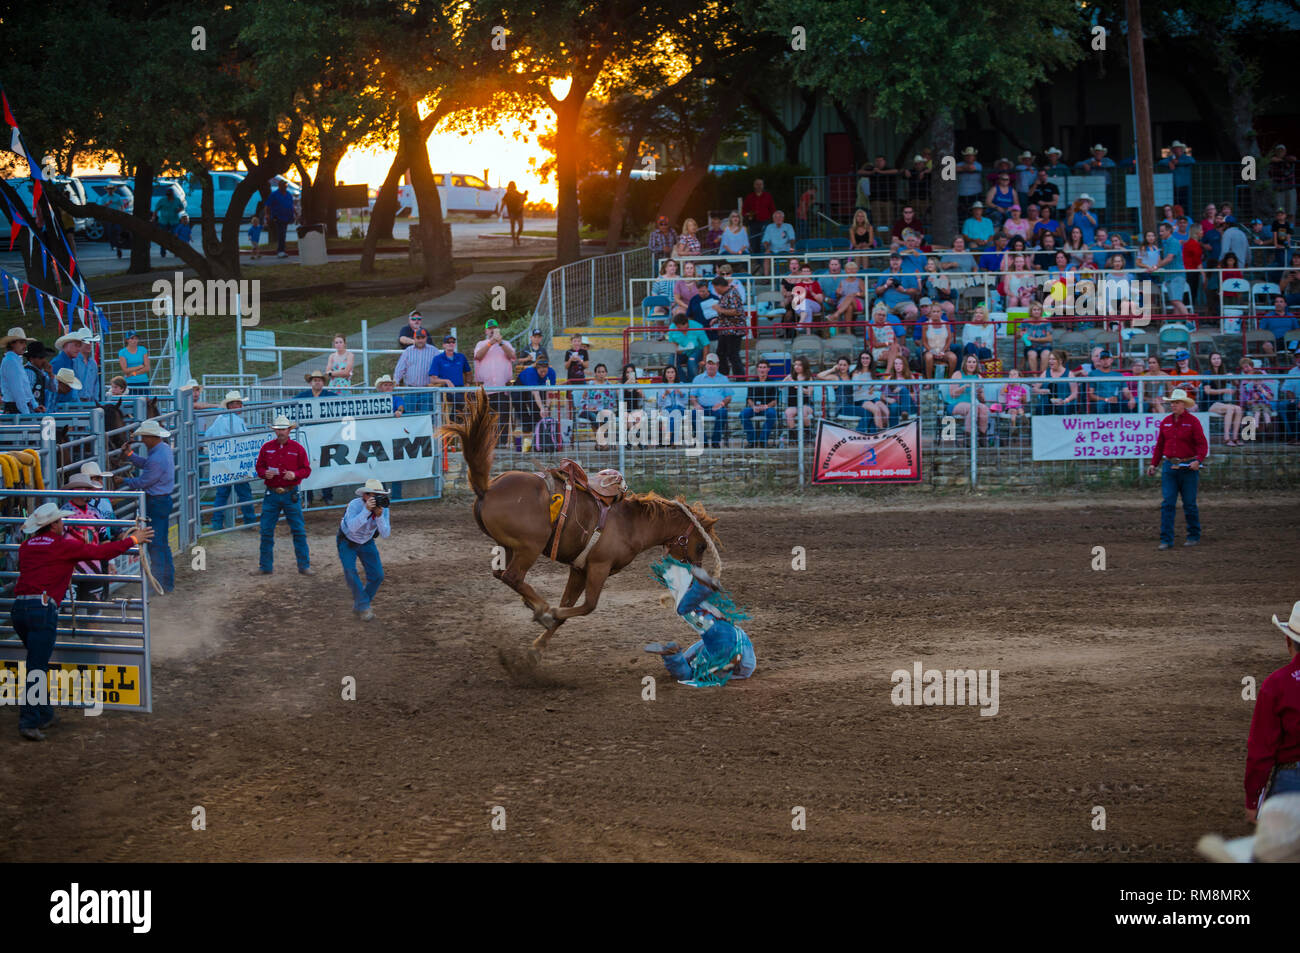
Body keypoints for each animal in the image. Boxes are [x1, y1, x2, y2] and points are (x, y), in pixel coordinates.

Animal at [436, 387, 722, 655]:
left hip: (507, 545)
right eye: (700, 546)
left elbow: (569, 605)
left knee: (501, 574)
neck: (632, 524)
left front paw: (538, 646)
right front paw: (549, 614)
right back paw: (540, 606)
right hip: (530, 546)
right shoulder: (599, 566)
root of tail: (486, 488)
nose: (697, 579)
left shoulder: (579, 568)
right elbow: (587, 606)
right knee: (513, 576)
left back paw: (535, 605)